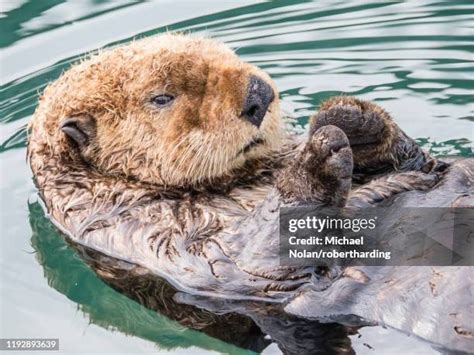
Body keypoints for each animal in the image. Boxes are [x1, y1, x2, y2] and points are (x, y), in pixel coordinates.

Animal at [27, 33, 472, 354]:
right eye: (161, 97)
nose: (258, 93)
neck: (242, 181)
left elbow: (414, 163)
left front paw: (349, 117)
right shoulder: (154, 235)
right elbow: (252, 257)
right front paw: (318, 157)